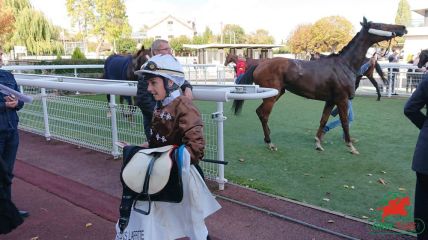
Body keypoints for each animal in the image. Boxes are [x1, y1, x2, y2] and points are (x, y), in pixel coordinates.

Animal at [232, 18, 406, 154]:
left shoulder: (331, 100)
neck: (345, 64)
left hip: (277, 93)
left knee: (260, 112)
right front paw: (350, 146)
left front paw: (318, 143)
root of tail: (260, 64)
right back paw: (270, 142)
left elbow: (323, 120)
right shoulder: (342, 100)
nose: (403, 28)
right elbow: (344, 122)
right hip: (272, 96)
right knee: (263, 114)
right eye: (380, 24)